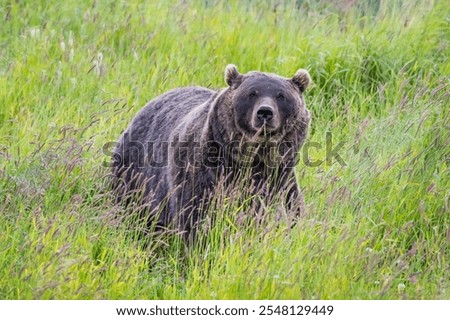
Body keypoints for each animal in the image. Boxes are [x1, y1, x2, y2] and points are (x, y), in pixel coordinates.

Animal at [111, 65, 310, 239]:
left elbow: (288, 211)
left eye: (281, 96)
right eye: (252, 93)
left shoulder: (280, 177)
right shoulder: (203, 169)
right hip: (133, 172)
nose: (265, 112)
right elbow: (195, 213)